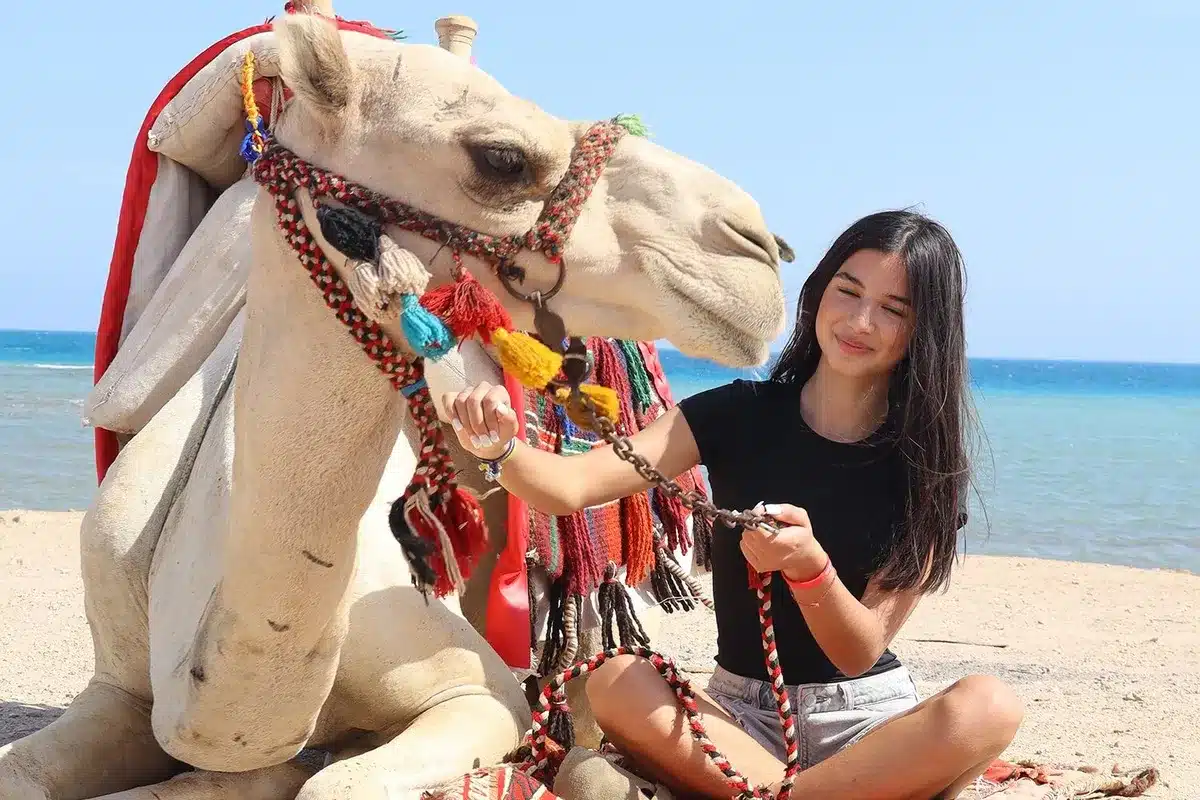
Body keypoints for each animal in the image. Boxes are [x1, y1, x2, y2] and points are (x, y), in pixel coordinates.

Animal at [0, 7, 787, 800]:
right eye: (502, 158)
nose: (758, 249)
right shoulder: (120, 686)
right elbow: (26, 771)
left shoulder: (476, 691)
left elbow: (327, 783)